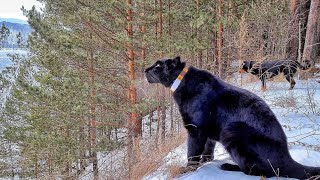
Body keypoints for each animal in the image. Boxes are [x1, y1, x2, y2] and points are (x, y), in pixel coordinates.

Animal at [146, 56, 320, 179]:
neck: (180, 82)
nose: (145, 69)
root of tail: (288, 157)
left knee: (262, 171)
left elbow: (192, 152)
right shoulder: (208, 132)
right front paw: (205, 161)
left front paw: (187, 169)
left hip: (231, 130)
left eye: (158, 66)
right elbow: (208, 148)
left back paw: (228, 166)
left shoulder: (195, 129)